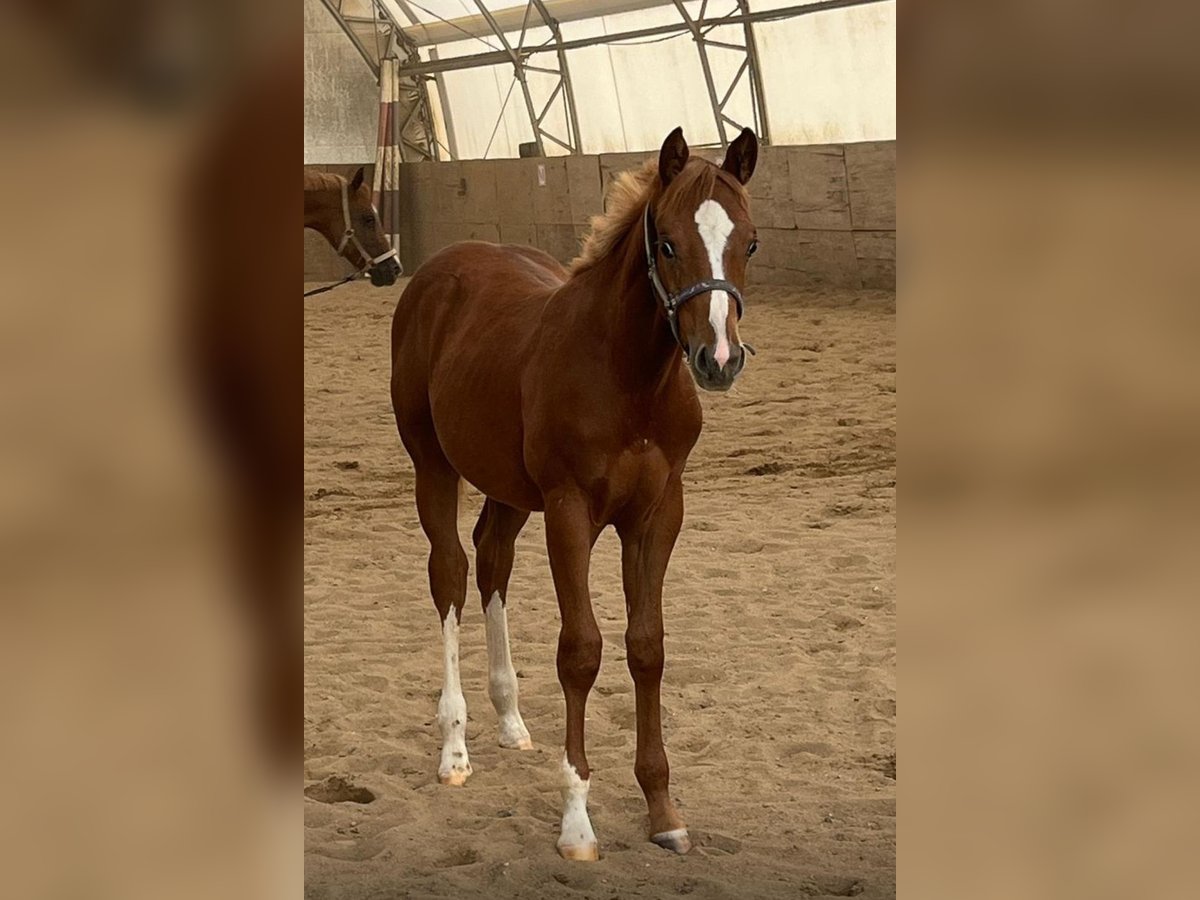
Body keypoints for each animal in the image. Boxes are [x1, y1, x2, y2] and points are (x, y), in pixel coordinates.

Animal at [390, 126, 758, 860]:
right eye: (666, 243)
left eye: (750, 242)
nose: (719, 360)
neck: (628, 377)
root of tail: (439, 271)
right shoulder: (569, 511)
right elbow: (581, 652)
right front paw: (576, 821)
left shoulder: (657, 514)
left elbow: (647, 647)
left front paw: (663, 810)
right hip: (433, 466)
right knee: (450, 572)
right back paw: (455, 749)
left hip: (506, 486)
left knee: (492, 559)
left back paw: (510, 720)